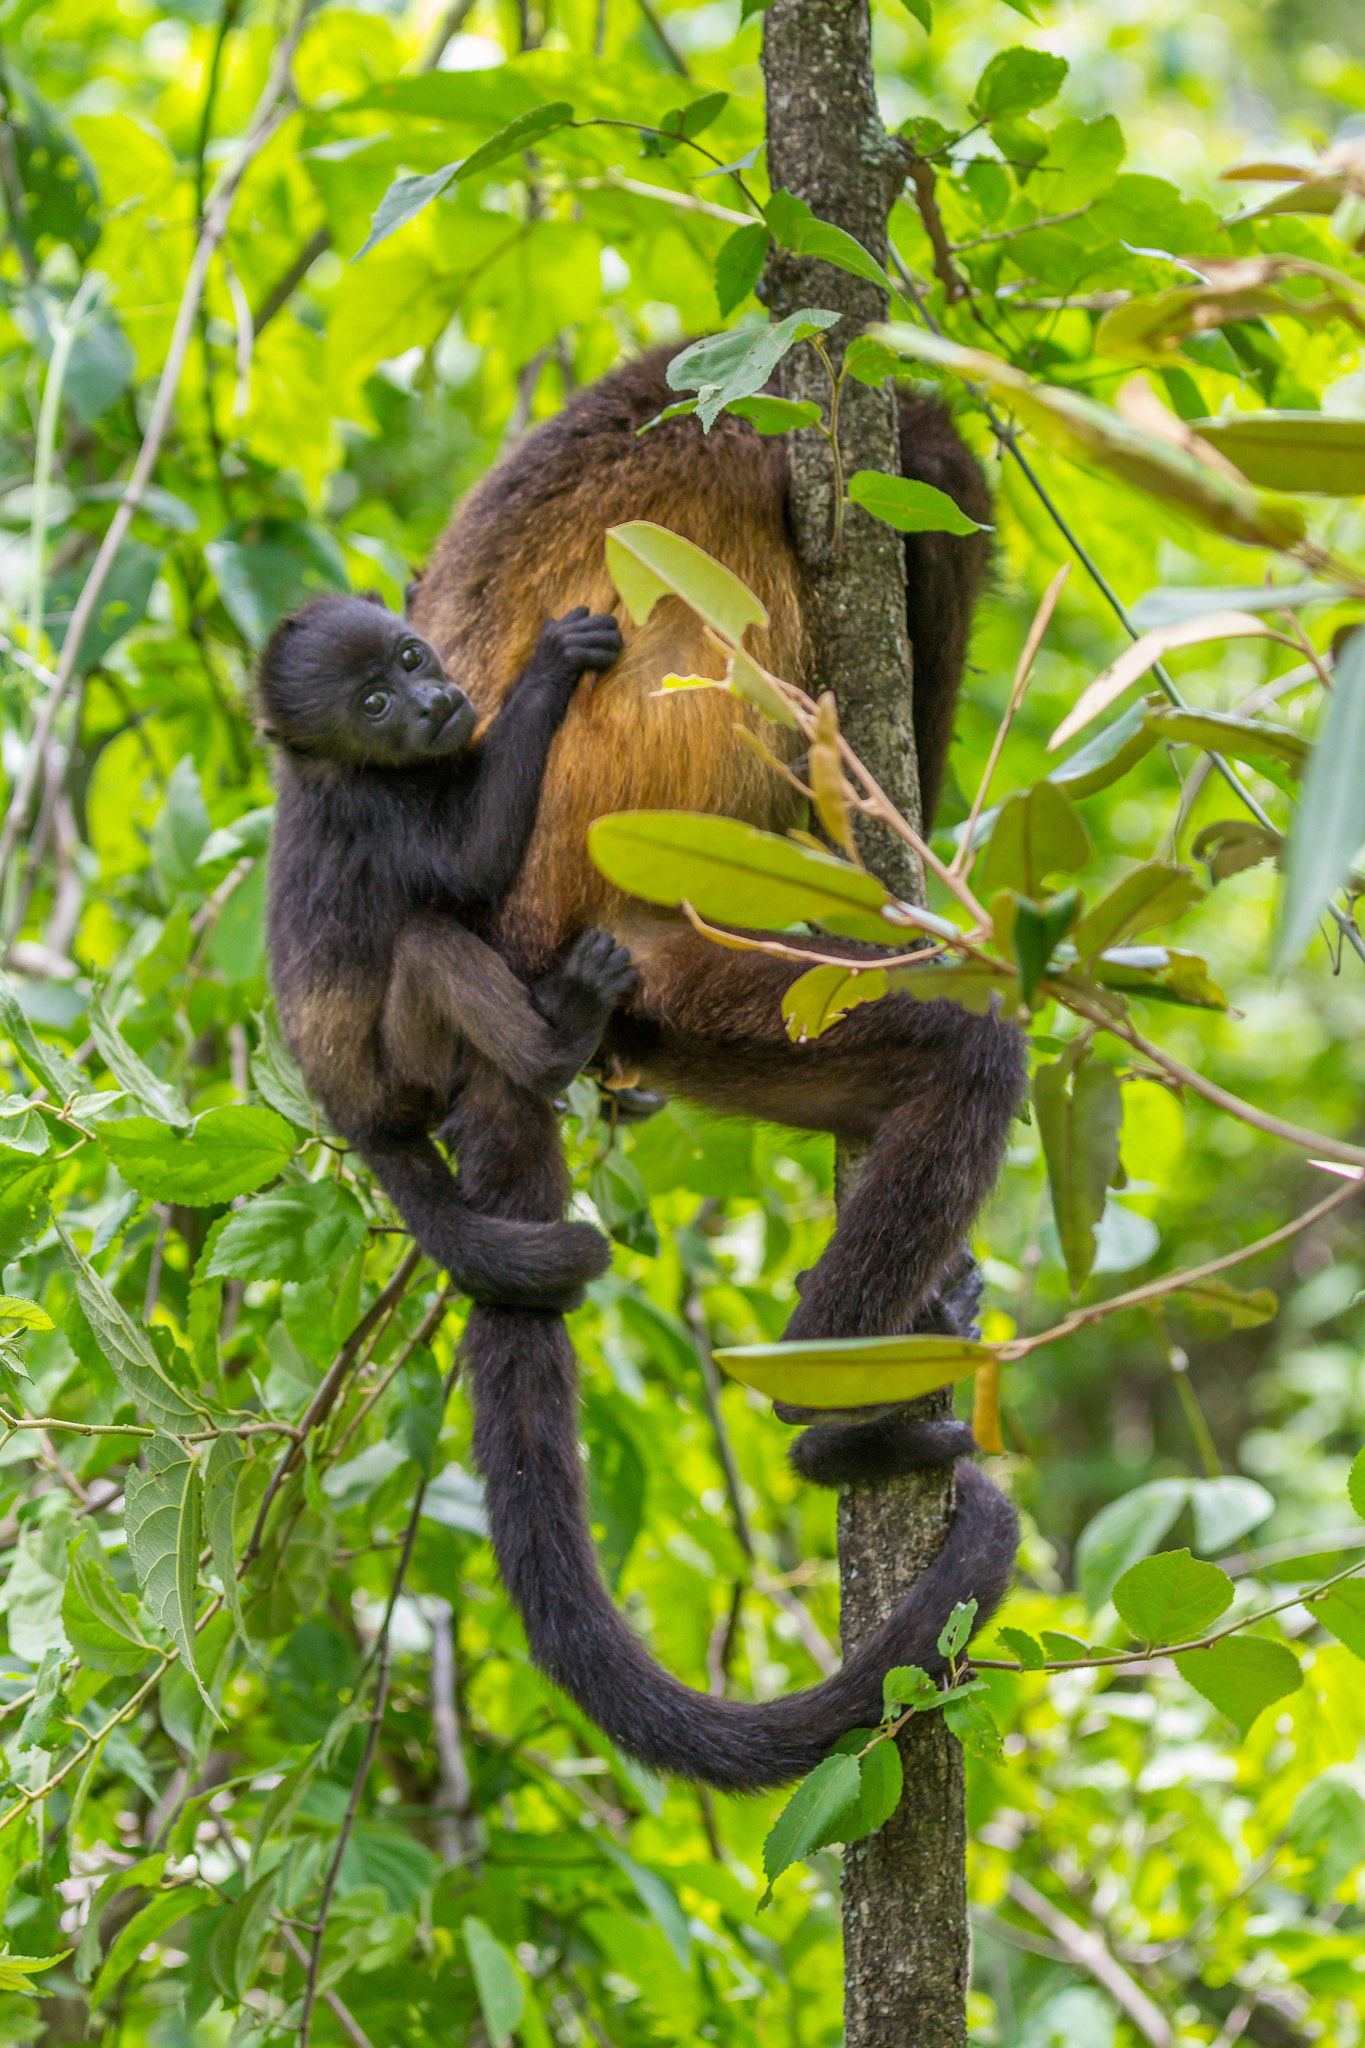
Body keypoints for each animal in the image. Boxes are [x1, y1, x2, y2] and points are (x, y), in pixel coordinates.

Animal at [259, 593, 634, 1310]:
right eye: (374, 704)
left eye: (410, 656)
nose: (432, 704)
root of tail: (358, 1117)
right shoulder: (377, 806)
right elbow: (474, 858)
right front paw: (551, 663)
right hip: (412, 1069)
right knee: (427, 942)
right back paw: (559, 1040)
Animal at [401, 352, 1031, 1794]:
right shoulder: (838, 429)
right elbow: (935, 496)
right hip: (667, 963)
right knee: (968, 1051)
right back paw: (831, 1409)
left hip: (675, 1018)